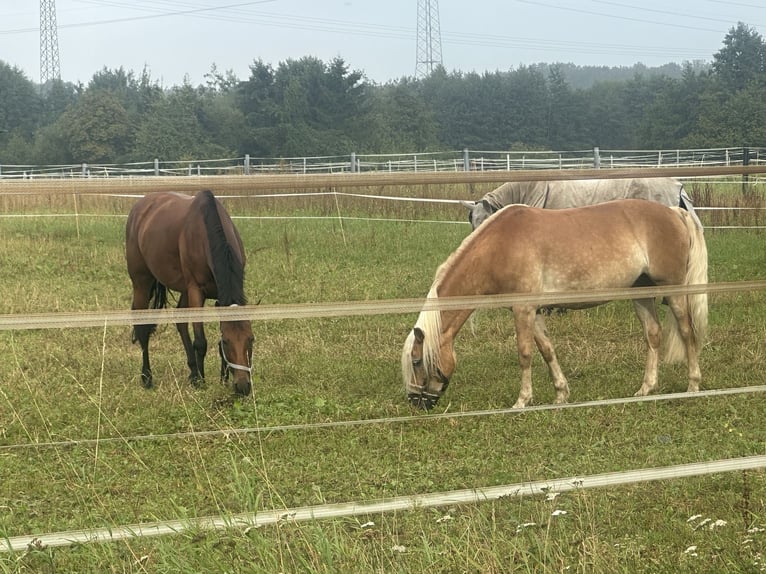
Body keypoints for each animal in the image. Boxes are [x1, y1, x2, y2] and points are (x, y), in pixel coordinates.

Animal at [126, 191, 255, 398]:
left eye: (251, 339)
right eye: (227, 342)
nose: (242, 387)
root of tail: (140, 206)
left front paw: (222, 379)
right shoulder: (196, 291)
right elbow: (200, 341)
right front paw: (202, 381)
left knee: (180, 322)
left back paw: (192, 372)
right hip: (141, 283)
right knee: (143, 329)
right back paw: (147, 377)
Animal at [404, 200, 712, 412]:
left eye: (417, 361)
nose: (416, 402)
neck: (500, 246)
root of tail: (674, 212)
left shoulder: (523, 310)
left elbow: (525, 354)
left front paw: (522, 401)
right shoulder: (533, 311)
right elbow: (547, 350)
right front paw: (561, 393)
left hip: (674, 292)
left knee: (687, 332)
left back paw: (693, 385)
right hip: (641, 292)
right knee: (653, 335)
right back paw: (645, 389)